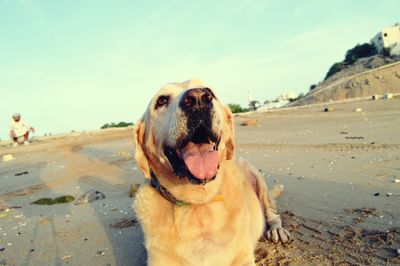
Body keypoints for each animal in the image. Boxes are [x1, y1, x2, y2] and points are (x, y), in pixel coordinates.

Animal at [133, 78, 290, 264]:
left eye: (209, 92)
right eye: (161, 100)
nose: (198, 99)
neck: (199, 203)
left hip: (257, 178)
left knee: (271, 212)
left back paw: (276, 229)